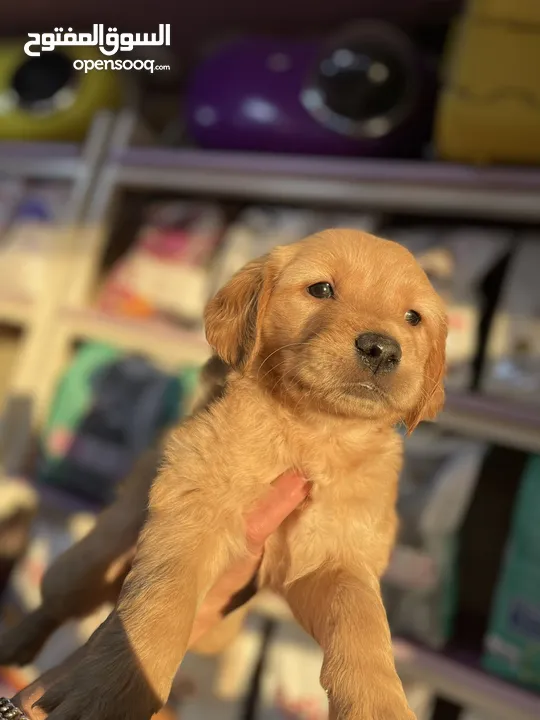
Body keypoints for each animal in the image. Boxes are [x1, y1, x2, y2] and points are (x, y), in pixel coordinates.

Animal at [35, 231, 446, 720]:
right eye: (321, 289)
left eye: (413, 317)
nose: (382, 348)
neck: (314, 434)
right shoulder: (195, 507)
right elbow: (162, 601)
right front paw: (108, 691)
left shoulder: (337, 555)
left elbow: (362, 618)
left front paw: (378, 703)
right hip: (90, 557)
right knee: (52, 602)